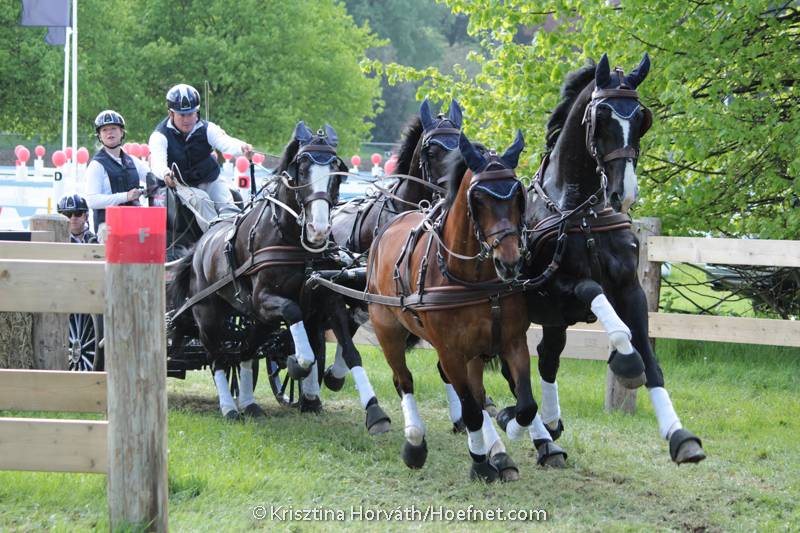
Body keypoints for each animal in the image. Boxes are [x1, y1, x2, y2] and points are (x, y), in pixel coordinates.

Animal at [167, 121, 348, 419]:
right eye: (302, 169)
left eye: (336, 172)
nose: (318, 229)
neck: (287, 237)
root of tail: (200, 244)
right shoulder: (263, 299)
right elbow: (295, 322)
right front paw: (298, 363)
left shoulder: (314, 304)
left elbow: (314, 343)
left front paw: (310, 398)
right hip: (208, 314)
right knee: (218, 358)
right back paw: (229, 408)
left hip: (250, 317)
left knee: (243, 351)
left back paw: (249, 403)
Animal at [367, 129, 533, 482]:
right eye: (478, 199)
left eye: (517, 195)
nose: (509, 261)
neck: (475, 281)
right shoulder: (451, 351)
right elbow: (471, 411)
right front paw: (480, 463)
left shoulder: (512, 342)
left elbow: (524, 404)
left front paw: (510, 428)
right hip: (386, 327)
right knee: (403, 381)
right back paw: (415, 442)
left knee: (479, 394)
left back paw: (500, 453)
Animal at [494, 53, 705, 464]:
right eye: (602, 116)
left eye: (640, 118)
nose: (625, 192)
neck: (581, 212)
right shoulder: (555, 289)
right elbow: (597, 296)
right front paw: (624, 361)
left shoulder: (629, 288)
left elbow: (650, 359)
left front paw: (679, 435)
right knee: (515, 368)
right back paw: (525, 426)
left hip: (552, 322)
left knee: (547, 357)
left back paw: (548, 428)